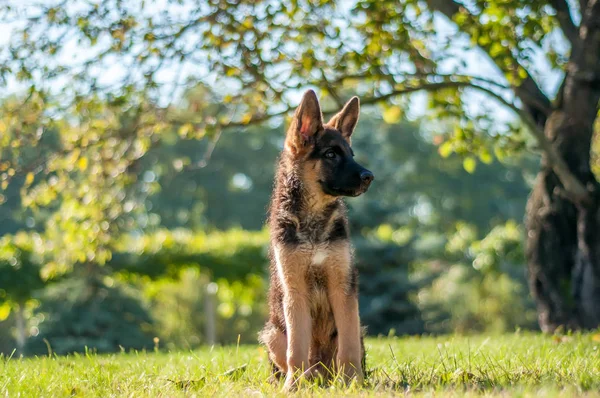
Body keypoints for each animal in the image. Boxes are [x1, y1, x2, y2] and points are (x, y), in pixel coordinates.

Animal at [258, 89, 372, 388]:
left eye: (351, 154)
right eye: (331, 154)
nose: (369, 177)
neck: (313, 223)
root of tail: (322, 371)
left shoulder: (342, 289)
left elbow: (348, 347)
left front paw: (353, 382)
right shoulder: (295, 290)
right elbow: (296, 347)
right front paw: (293, 386)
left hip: (358, 330)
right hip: (272, 332)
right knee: (289, 355)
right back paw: (301, 379)